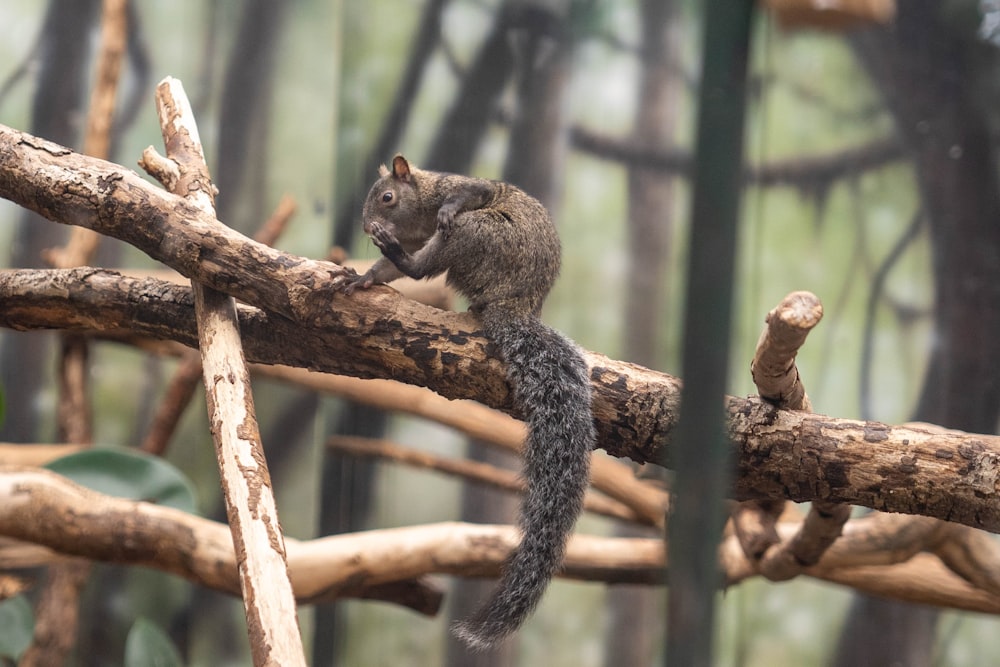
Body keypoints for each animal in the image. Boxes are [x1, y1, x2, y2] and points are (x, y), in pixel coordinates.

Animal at [342, 154, 592, 648]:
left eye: (387, 197)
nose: (365, 225)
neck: (418, 214)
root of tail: (514, 304)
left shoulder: (461, 193)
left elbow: (469, 195)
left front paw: (432, 218)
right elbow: (387, 273)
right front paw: (363, 277)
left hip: (475, 233)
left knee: (424, 266)